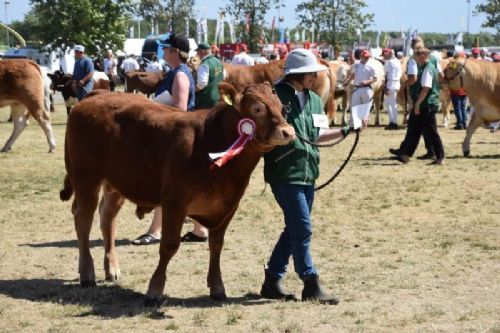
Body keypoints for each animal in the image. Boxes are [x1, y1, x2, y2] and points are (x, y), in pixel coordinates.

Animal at [61, 81, 296, 302]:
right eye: (257, 108)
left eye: (282, 108)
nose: (288, 132)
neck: (209, 144)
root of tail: (97, 95)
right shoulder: (175, 203)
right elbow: (169, 245)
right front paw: (154, 290)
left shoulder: (228, 206)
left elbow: (216, 245)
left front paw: (217, 287)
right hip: (86, 178)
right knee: (83, 218)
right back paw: (87, 273)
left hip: (116, 184)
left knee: (107, 218)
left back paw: (112, 269)